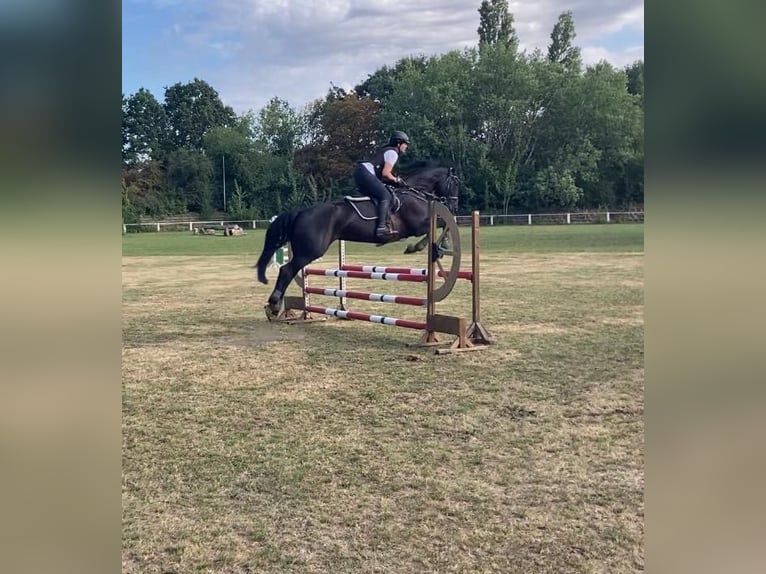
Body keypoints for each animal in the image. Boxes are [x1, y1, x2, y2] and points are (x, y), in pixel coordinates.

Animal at [255, 161, 460, 317]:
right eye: (454, 184)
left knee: (288, 270)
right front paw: (427, 247)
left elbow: (443, 224)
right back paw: (274, 305)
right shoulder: (418, 226)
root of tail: (301, 212)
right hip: (309, 252)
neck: (414, 192)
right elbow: (443, 223)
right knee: (286, 270)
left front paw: (439, 247)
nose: (454, 205)